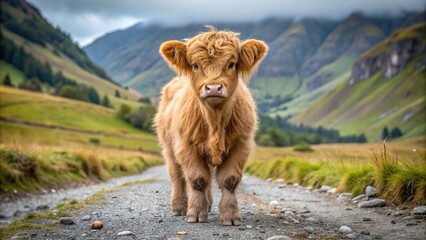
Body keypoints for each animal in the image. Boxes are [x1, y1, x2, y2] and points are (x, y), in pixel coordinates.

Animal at [155, 27, 268, 225]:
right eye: (195, 65)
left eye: (231, 64)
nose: (213, 88)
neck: (215, 121)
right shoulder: (186, 145)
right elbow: (197, 179)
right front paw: (195, 213)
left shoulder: (241, 144)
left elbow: (229, 180)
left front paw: (230, 215)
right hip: (168, 147)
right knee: (177, 176)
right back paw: (179, 207)